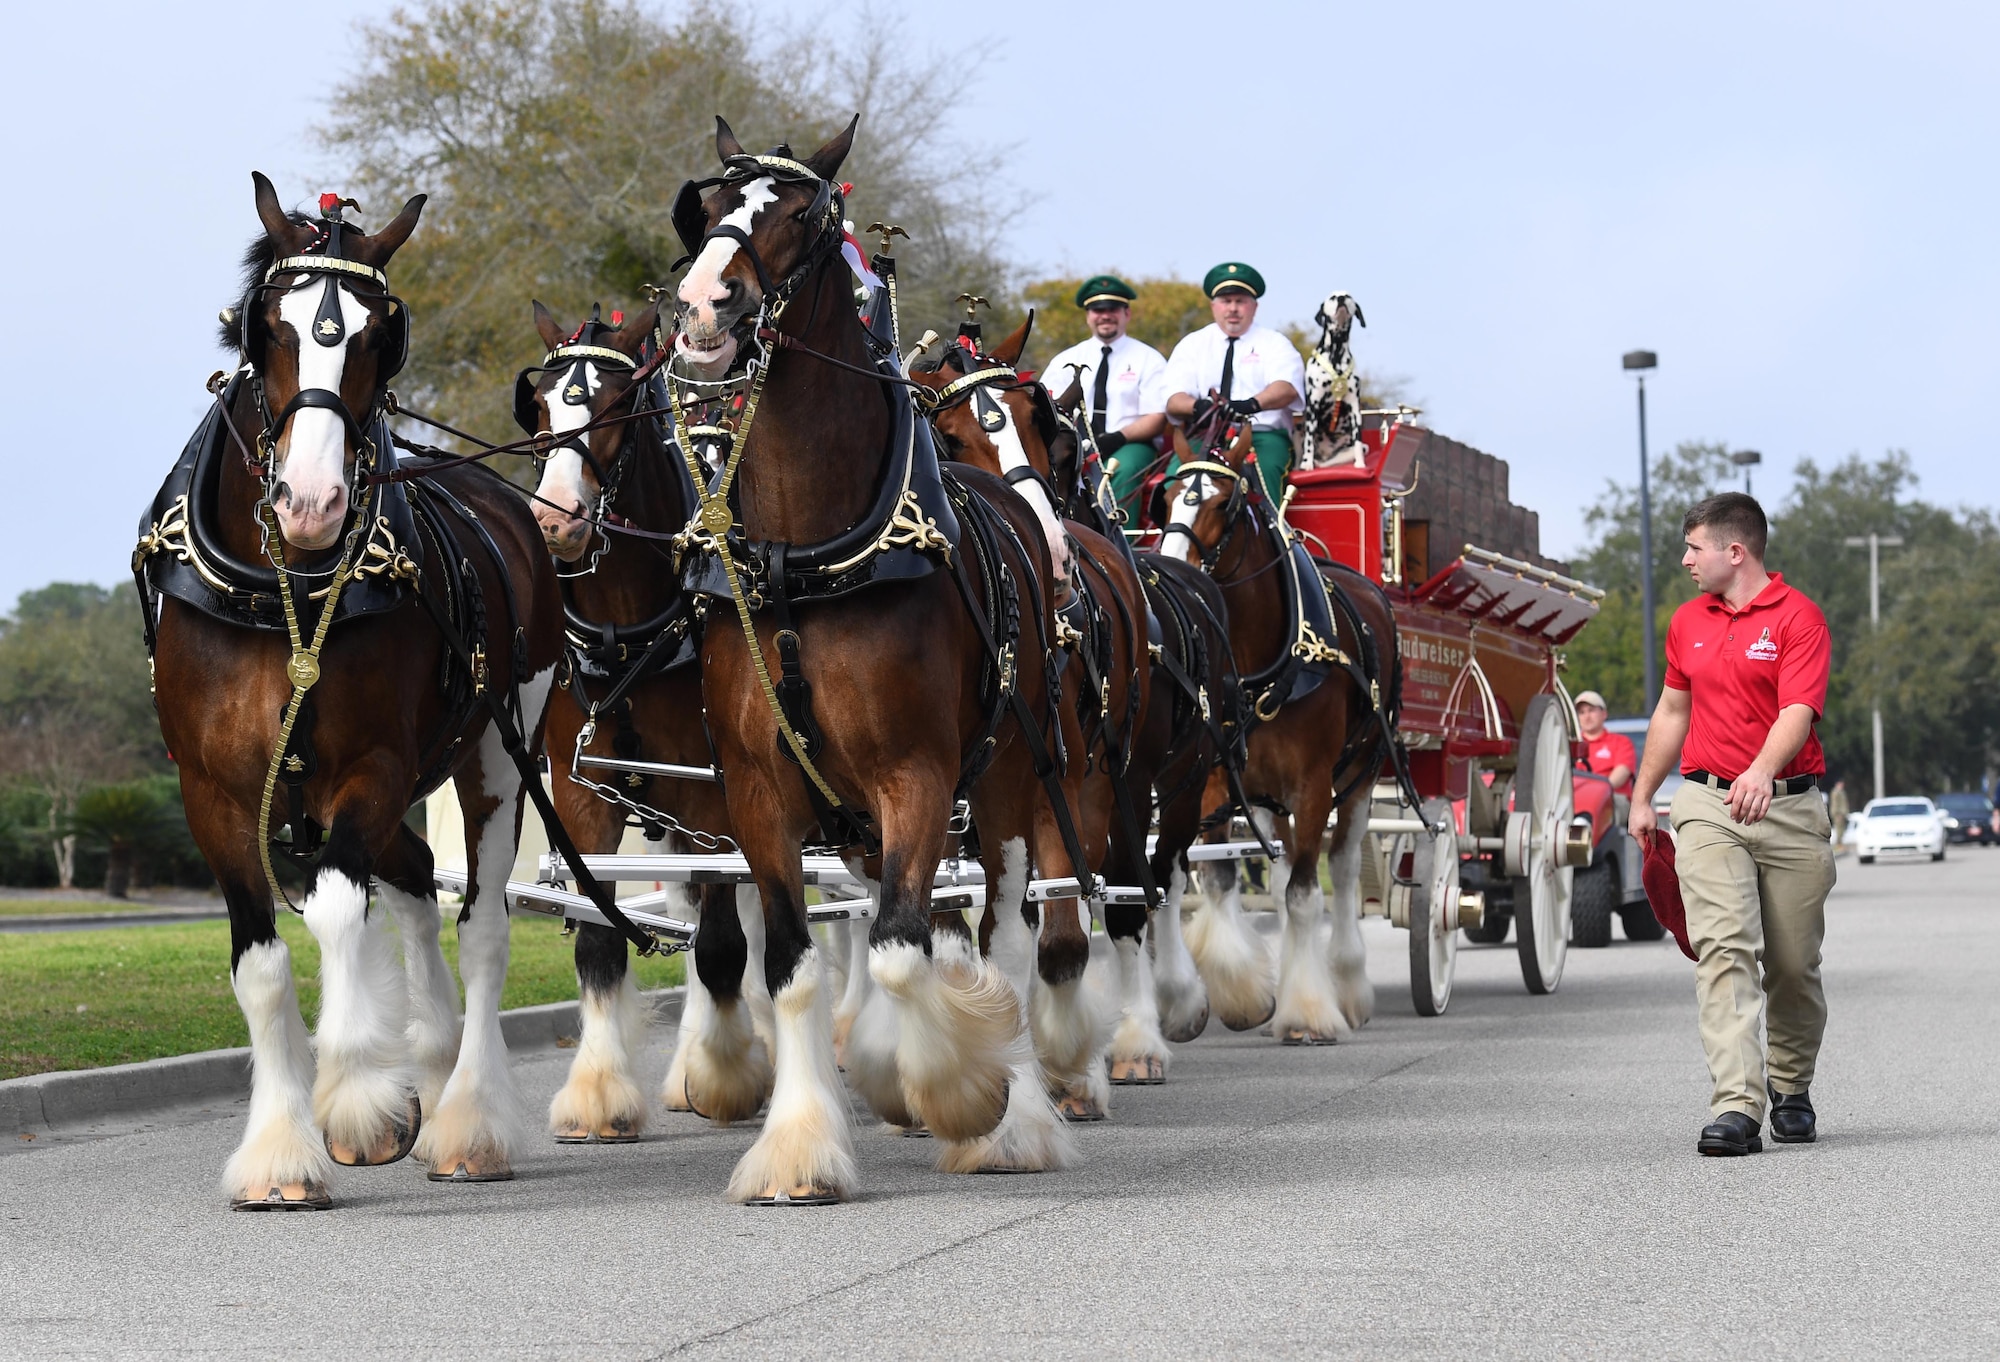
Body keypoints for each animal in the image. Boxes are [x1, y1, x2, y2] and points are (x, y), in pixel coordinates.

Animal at [1304, 290, 1368, 468]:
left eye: (1348, 296)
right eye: (1332, 297)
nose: (1341, 298)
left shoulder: (1354, 406)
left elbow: (1358, 441)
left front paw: (1361, 465)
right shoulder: (1313, 403)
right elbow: (1308, 440)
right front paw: (1306, 465)